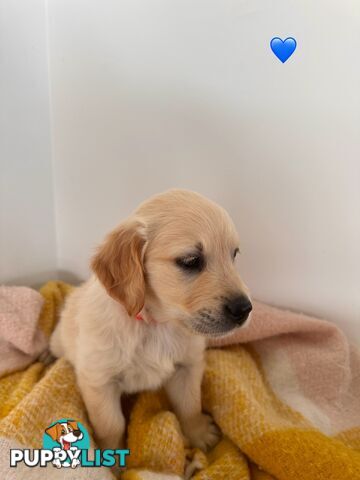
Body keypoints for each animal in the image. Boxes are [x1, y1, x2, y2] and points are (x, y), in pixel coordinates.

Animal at [50, 189, 252, 452]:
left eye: (234, 254)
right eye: (191, 261)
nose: (245, 309)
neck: (155, 324)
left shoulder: (188, 367)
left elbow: (190, 405)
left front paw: (198, 434)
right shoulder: (98, 381)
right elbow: (111, 425)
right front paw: (110, 457)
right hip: (59, 341)